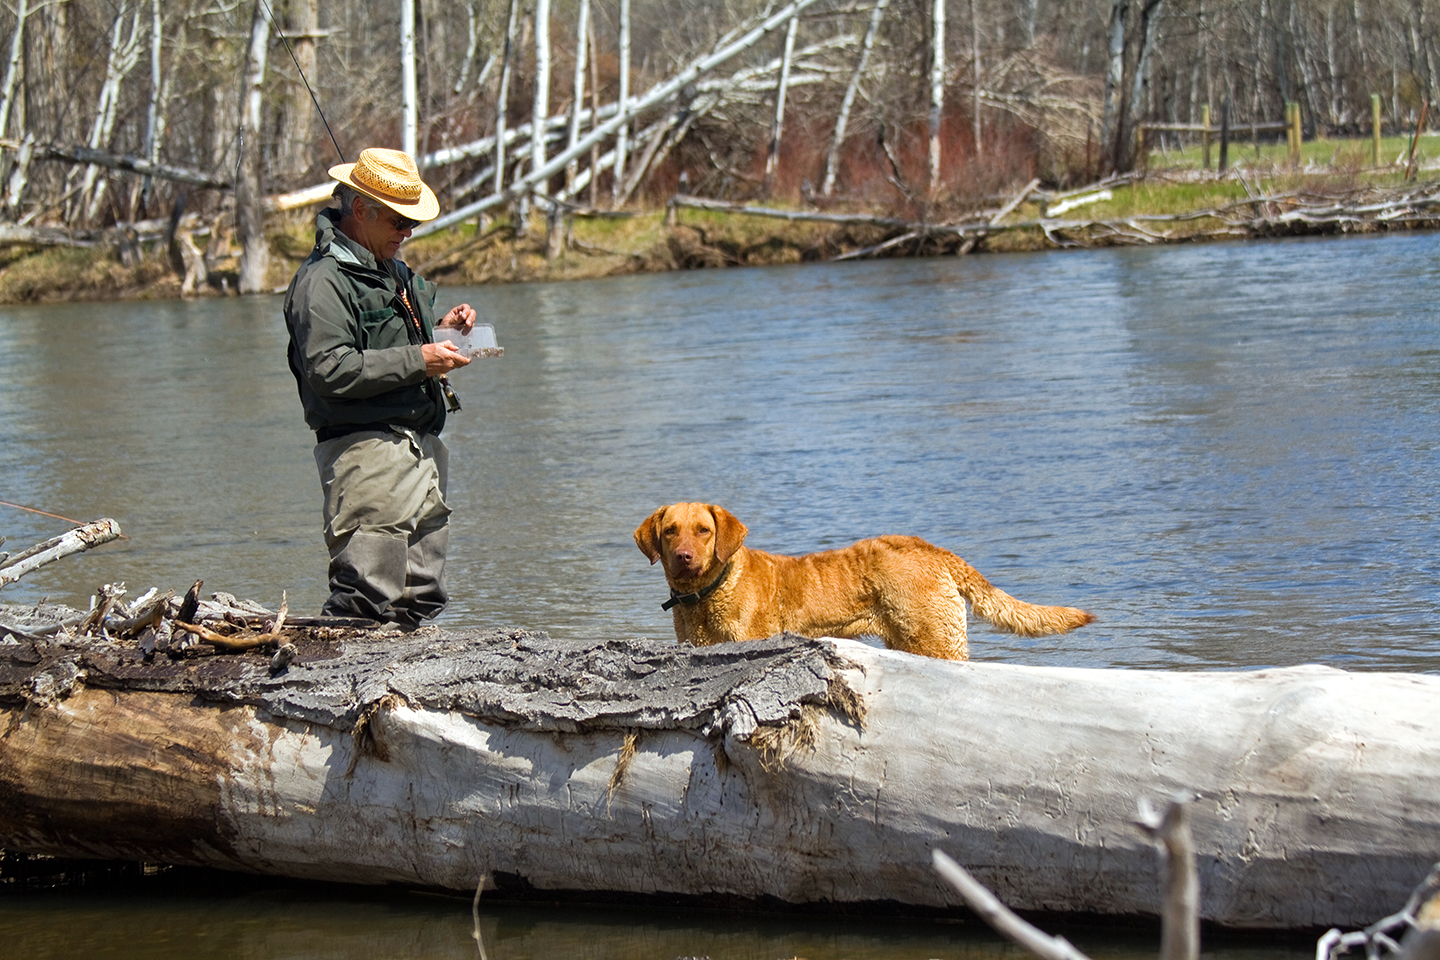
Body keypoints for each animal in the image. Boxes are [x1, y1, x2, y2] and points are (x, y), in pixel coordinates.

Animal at [636, 503, 1094, 662]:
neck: (705, 595)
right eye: (671, 531)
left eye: (704, 530)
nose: (685, 558)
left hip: (937, 640)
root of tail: (933, 549)